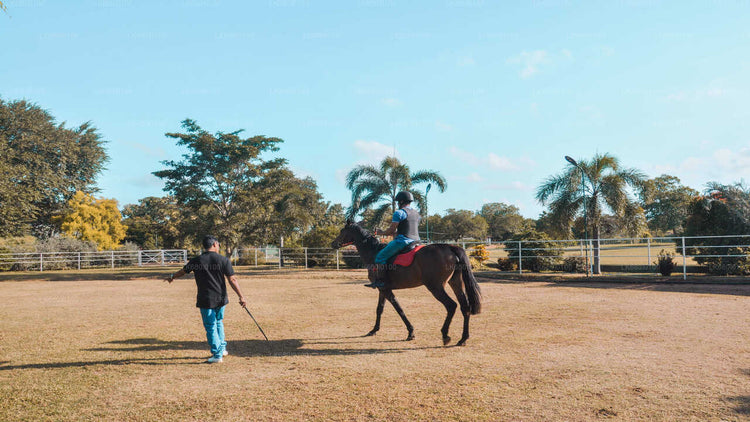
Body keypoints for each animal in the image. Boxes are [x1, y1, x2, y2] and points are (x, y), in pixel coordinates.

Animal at [330, 220, 482, 346]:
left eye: (342, 231)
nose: (333, 244)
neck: (374, 252)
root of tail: (450, 248)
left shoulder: (386, 290)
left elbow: (399, 309)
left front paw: (410, 332)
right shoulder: (382, 289)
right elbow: (379, 309)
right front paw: (374, 330)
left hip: (436, 287)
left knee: (451, 306)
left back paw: (445, 335)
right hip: (455, 283)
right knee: (465, 307)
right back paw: (463, 339)